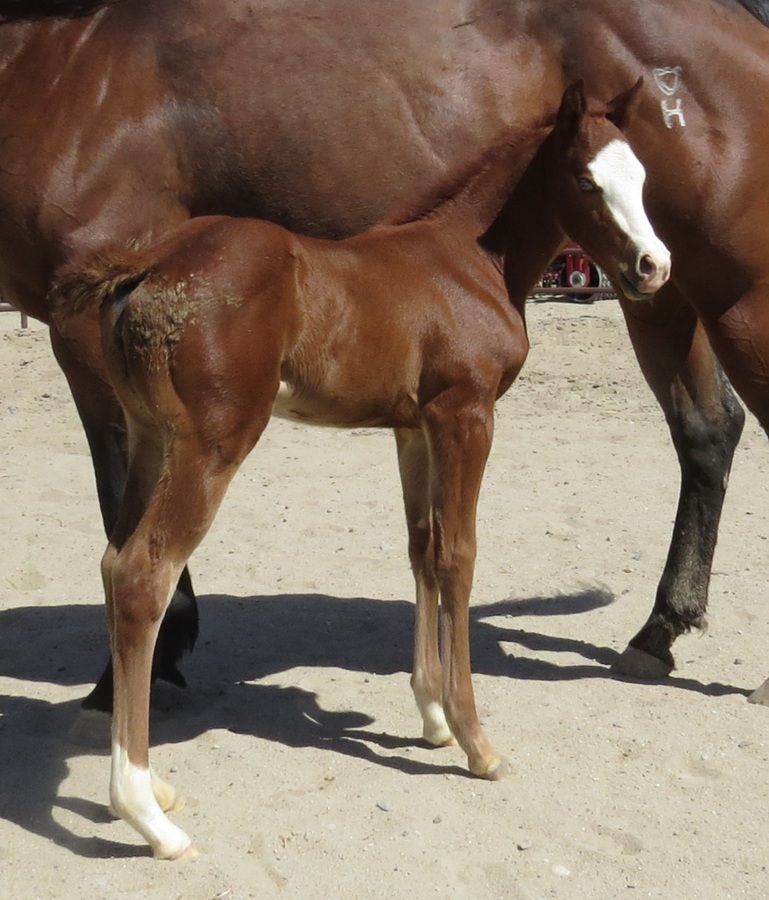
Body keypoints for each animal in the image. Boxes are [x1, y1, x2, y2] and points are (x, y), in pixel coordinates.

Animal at [4, 0, 769, 704]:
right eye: (589, 182)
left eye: (637, 178)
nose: (651, 261)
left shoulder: (84, 335)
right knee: (707, 429)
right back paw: (657, 634)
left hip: (731, 298)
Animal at [53, 82, 670, 858]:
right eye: (588, 182)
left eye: (642, 178)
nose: (654, 267)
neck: (469, 260)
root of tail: (149, 263)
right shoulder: (467, 416)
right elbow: (460, 555)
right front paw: (477, 741)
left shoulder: (414, 427)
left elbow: (423, 550)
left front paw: (433, 718)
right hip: (211, 444)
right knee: (144, 575)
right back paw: (145, 814)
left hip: (149, 437)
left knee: (113, 564)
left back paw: (153, 786)